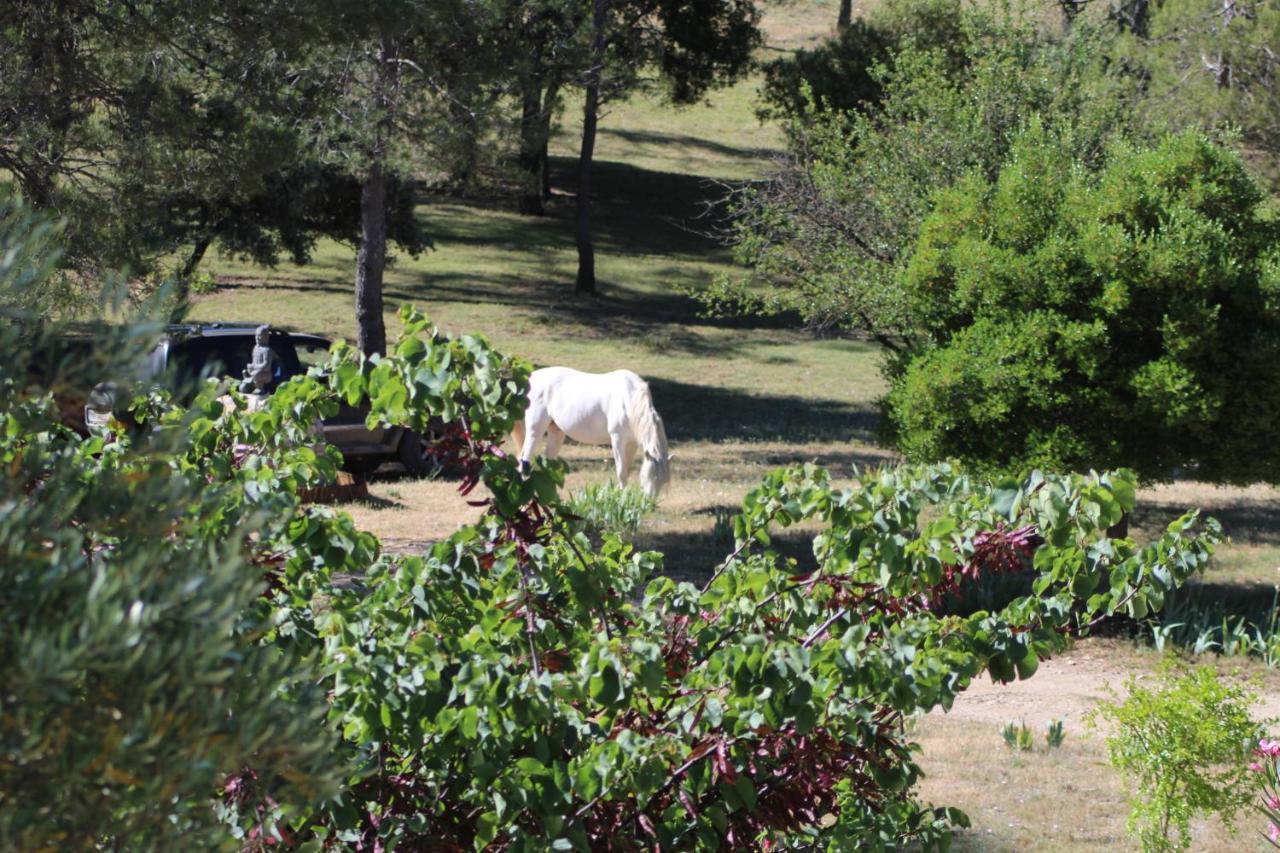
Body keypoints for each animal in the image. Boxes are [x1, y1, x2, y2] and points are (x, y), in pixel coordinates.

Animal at [512, 366, 675, 499]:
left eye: (663, 481)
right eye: (648, 477)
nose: (649, 503)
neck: (629, 399)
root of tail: (532, 377)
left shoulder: (632, 443)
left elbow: (627, 470)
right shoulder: (617, 440)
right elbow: (621, 472)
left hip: (556, 432)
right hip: (535, 430)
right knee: (524, 459)